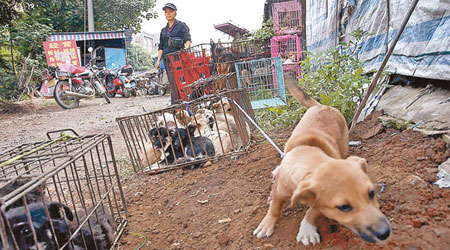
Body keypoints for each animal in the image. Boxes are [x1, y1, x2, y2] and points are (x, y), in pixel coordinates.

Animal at [253, 80, 390, 246]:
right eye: (344, 207)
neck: (307, 151)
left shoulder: (320, 203)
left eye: (371, 193)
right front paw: (267, 224)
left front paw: (307, 228)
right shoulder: (280, 191)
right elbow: (274, 207)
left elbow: (312, 211)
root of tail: (323, 106)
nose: (385, 233)